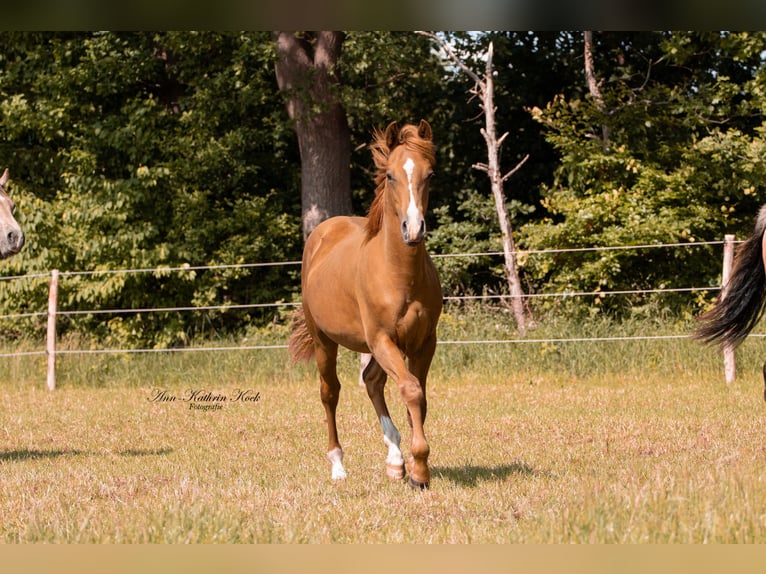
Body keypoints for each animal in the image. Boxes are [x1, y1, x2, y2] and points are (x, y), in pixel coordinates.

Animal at [288, 120, 442, 489]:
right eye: (389, 175)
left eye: (430, 174)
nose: (413, 228)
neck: (399, 275)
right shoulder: (383, 339)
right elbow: (411, 390)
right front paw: (420, 470)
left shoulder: (423, 342)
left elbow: (419, 398)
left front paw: (412, 466)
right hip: (324, 341)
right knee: (330, 392)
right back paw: (338, 466)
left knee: (372, 381)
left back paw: (395, 460)